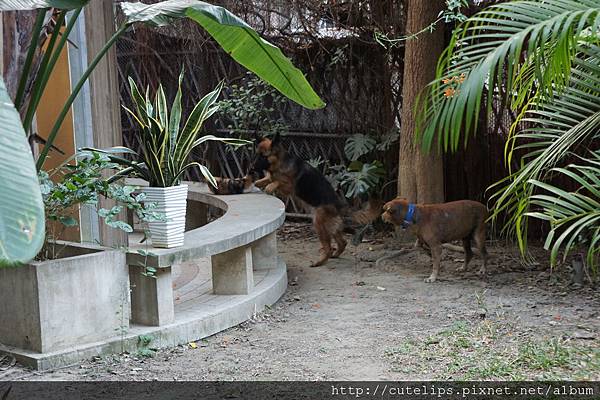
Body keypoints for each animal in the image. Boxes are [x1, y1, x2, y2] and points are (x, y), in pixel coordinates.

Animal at [252, 133, 376, 268]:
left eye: (263, 156)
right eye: (256, 154)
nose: (251, 168)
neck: (280, 163)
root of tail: (339, 204)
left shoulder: (289, 187)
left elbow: (277, 182)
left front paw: (269, 187)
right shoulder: (270, 177)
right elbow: (263, 180)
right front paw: (254, 182)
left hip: (319, 224)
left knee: (328, 247)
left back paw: (320, 262)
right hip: (330, 225)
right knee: (342, 242)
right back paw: (335, 254)